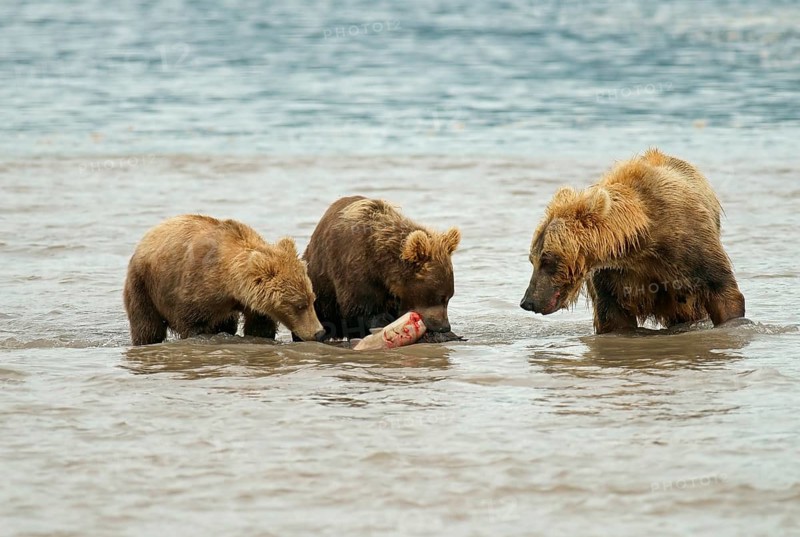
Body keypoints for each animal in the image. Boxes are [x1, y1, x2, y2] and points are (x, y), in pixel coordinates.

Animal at [123, 214, 325, 345]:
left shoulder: (249, 304)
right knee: (147, 326)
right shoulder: (194, 289)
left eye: (312, 299)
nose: (319, 332)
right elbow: (193, 324)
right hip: (143, 284)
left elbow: (259, 326)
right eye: (299, 305)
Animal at [520, 148, 745, 334]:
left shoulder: (691, 249)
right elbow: (613, 317)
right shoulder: (612, 277)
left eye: (548, 259)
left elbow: (723, 294)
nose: (527, 302)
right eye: (532, 259)